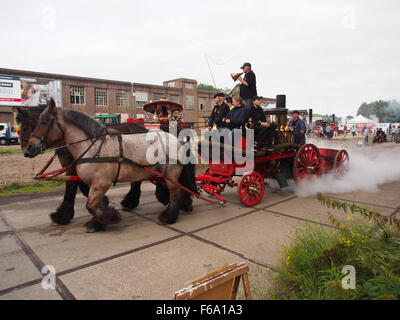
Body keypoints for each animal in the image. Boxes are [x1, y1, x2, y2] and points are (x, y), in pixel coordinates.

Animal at [23, 100, 195, 232]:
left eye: (43, 122)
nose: (28, 149)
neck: (92, 146)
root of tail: (178, 140)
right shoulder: (91, 183)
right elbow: (91, 203)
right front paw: (98, 221)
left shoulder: (101, 183)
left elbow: (91, 204)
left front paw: (109, 217)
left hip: (170, 173)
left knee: (175, 193)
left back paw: (168, 216)